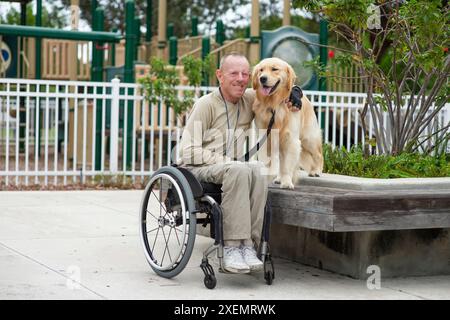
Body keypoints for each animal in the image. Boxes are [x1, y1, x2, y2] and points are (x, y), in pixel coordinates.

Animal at [253, 57, 324, 189]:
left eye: (274, 69)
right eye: (261, 70)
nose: (262, 78)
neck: (274, 104)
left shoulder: (290, 140)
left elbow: (287, 166)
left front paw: (286, 182)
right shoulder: (265, 138)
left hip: (308, 139)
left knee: (318, 154)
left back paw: (316, 171)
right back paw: (278, 178)